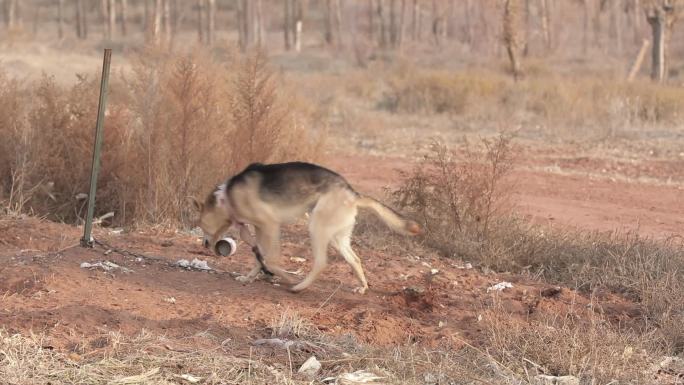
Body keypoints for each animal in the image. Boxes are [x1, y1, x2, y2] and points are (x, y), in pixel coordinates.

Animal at [188, 160, 422, 292]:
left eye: (199, 224)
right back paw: (362, 287)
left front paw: (285, 276)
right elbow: (259, 256)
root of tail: (352, 193)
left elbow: (270, 260)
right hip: (337, 237)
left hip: (316, 227)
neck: (226, 198)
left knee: (321, 262)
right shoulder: (260, 229)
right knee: (355, 259)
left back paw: (299, 286)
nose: (204, 244)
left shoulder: (270, 225)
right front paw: (249, 277)